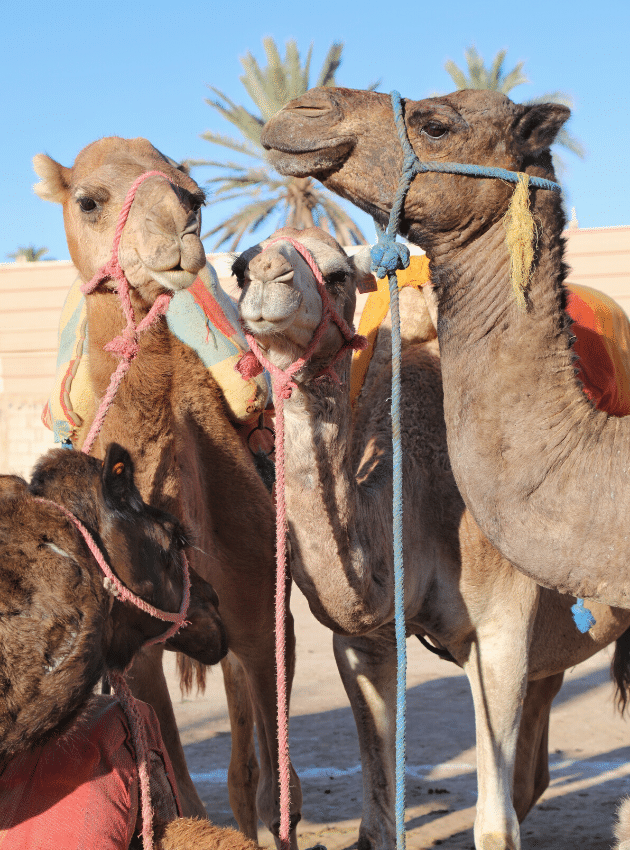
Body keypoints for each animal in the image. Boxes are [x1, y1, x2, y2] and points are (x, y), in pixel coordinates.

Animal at [33, 138, 301, 847]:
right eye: (88, 200)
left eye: (195, 195)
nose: (180, 237)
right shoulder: (132, 650)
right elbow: (179, 791)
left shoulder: (267, 620)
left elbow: (283, 794)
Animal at [234, 225, 630, 850]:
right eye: (237, 268)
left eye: (337, 274)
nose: (268, 274)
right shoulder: (364, 640)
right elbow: (376, 822)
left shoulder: (500, 629)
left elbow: (494, 827)